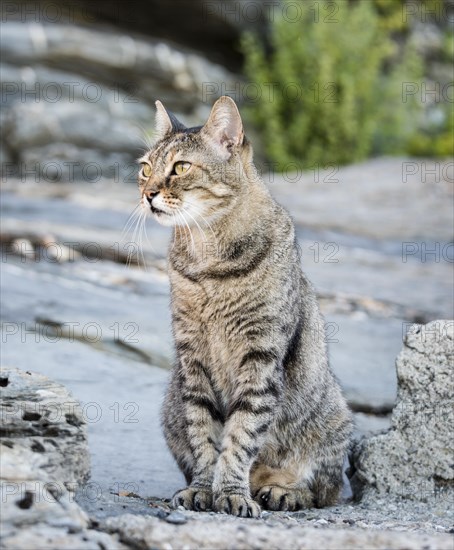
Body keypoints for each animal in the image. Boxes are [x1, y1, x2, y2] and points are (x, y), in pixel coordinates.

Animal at [137, 97, 352, 520]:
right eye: (145, 168)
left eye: (181, 167)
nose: (148, 193)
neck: (208, 261)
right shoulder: (193, 358)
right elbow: (205, 433)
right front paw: (205, 489)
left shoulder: (261, 355)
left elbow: (242, 434)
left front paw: (233, 493)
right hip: (170, 404)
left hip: (332, 416)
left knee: (325, 489)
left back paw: (281, 492)